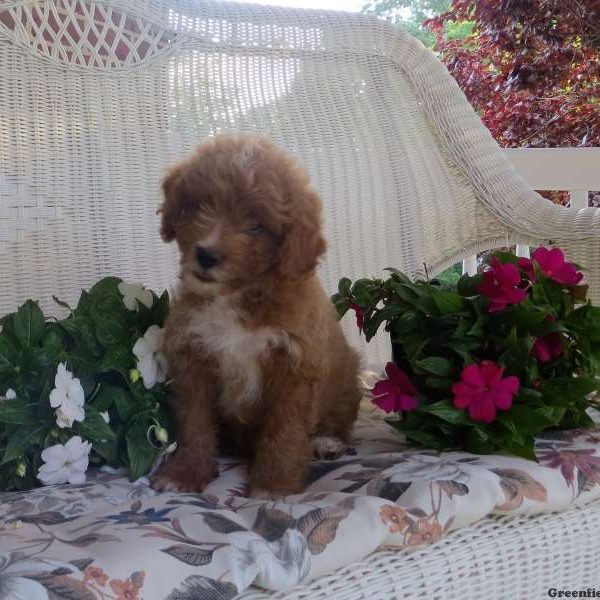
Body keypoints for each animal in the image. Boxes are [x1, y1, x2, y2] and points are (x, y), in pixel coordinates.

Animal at [151, 136, 360, 496]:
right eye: (200, 205)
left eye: (256, 226)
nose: (206, 254)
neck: (239, 296)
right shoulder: (193, 359)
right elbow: (194, 425)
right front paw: (185, 474)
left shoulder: (296, 367)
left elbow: (284, 431)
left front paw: (273, 486)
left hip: (348, 379)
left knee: (337, 421)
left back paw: (326, 441)